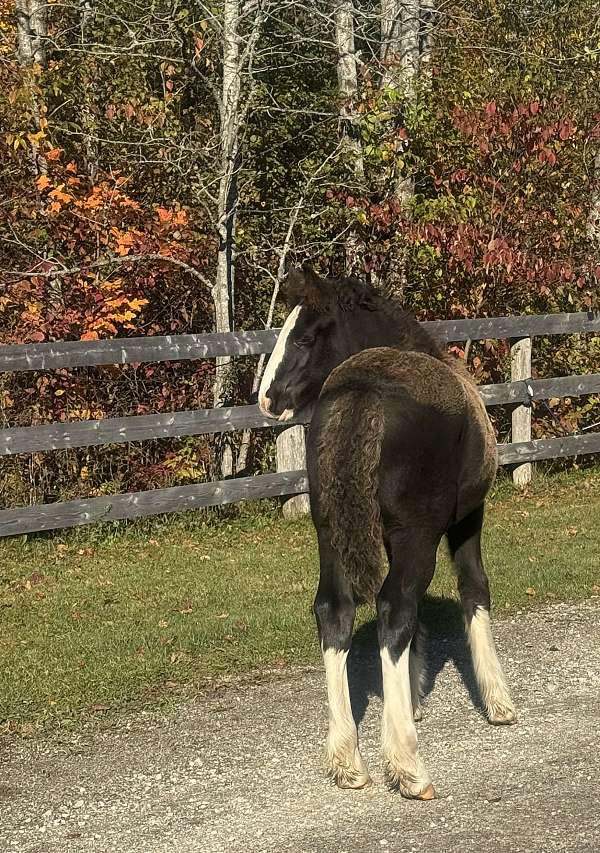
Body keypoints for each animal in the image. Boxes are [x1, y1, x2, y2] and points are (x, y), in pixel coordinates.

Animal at [258, 268, 516, 800]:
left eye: (305, 336)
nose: (268, 400)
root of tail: (363, 392)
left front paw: (413, 695)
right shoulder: (466, 519)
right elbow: (473, 589)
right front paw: (498, 702)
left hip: (331, 533)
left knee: (334, 610)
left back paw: (347, 761)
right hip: (418, 534)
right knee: (395, 607)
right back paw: (407, 765)